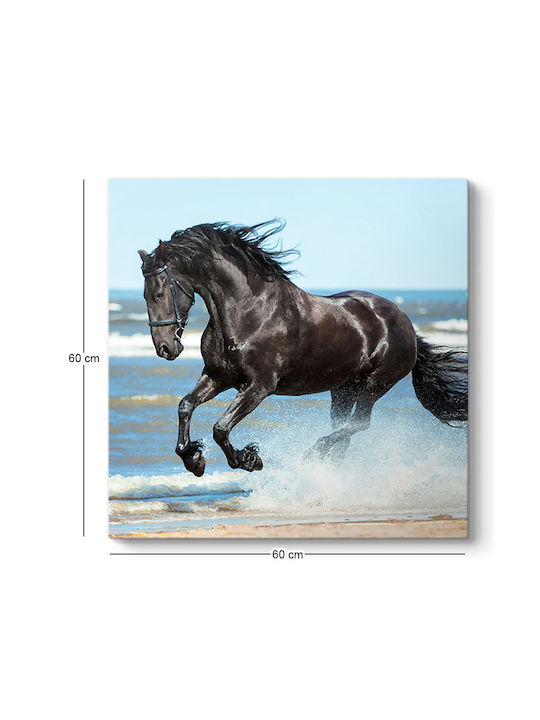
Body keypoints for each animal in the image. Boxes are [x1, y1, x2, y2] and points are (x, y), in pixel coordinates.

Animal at [138, 220, 468, 477]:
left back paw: (312, 455)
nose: (165, 348)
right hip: (343, 389)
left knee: (358, 425)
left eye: (159, 292)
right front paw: (193, 459)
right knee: (344, 430)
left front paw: (249, 459)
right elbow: (185, 406)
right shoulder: (218, 377)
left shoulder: (258, 386)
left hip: (375, 385)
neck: (249, 311)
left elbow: (221, 428)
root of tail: (407, 325)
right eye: (144, 294)